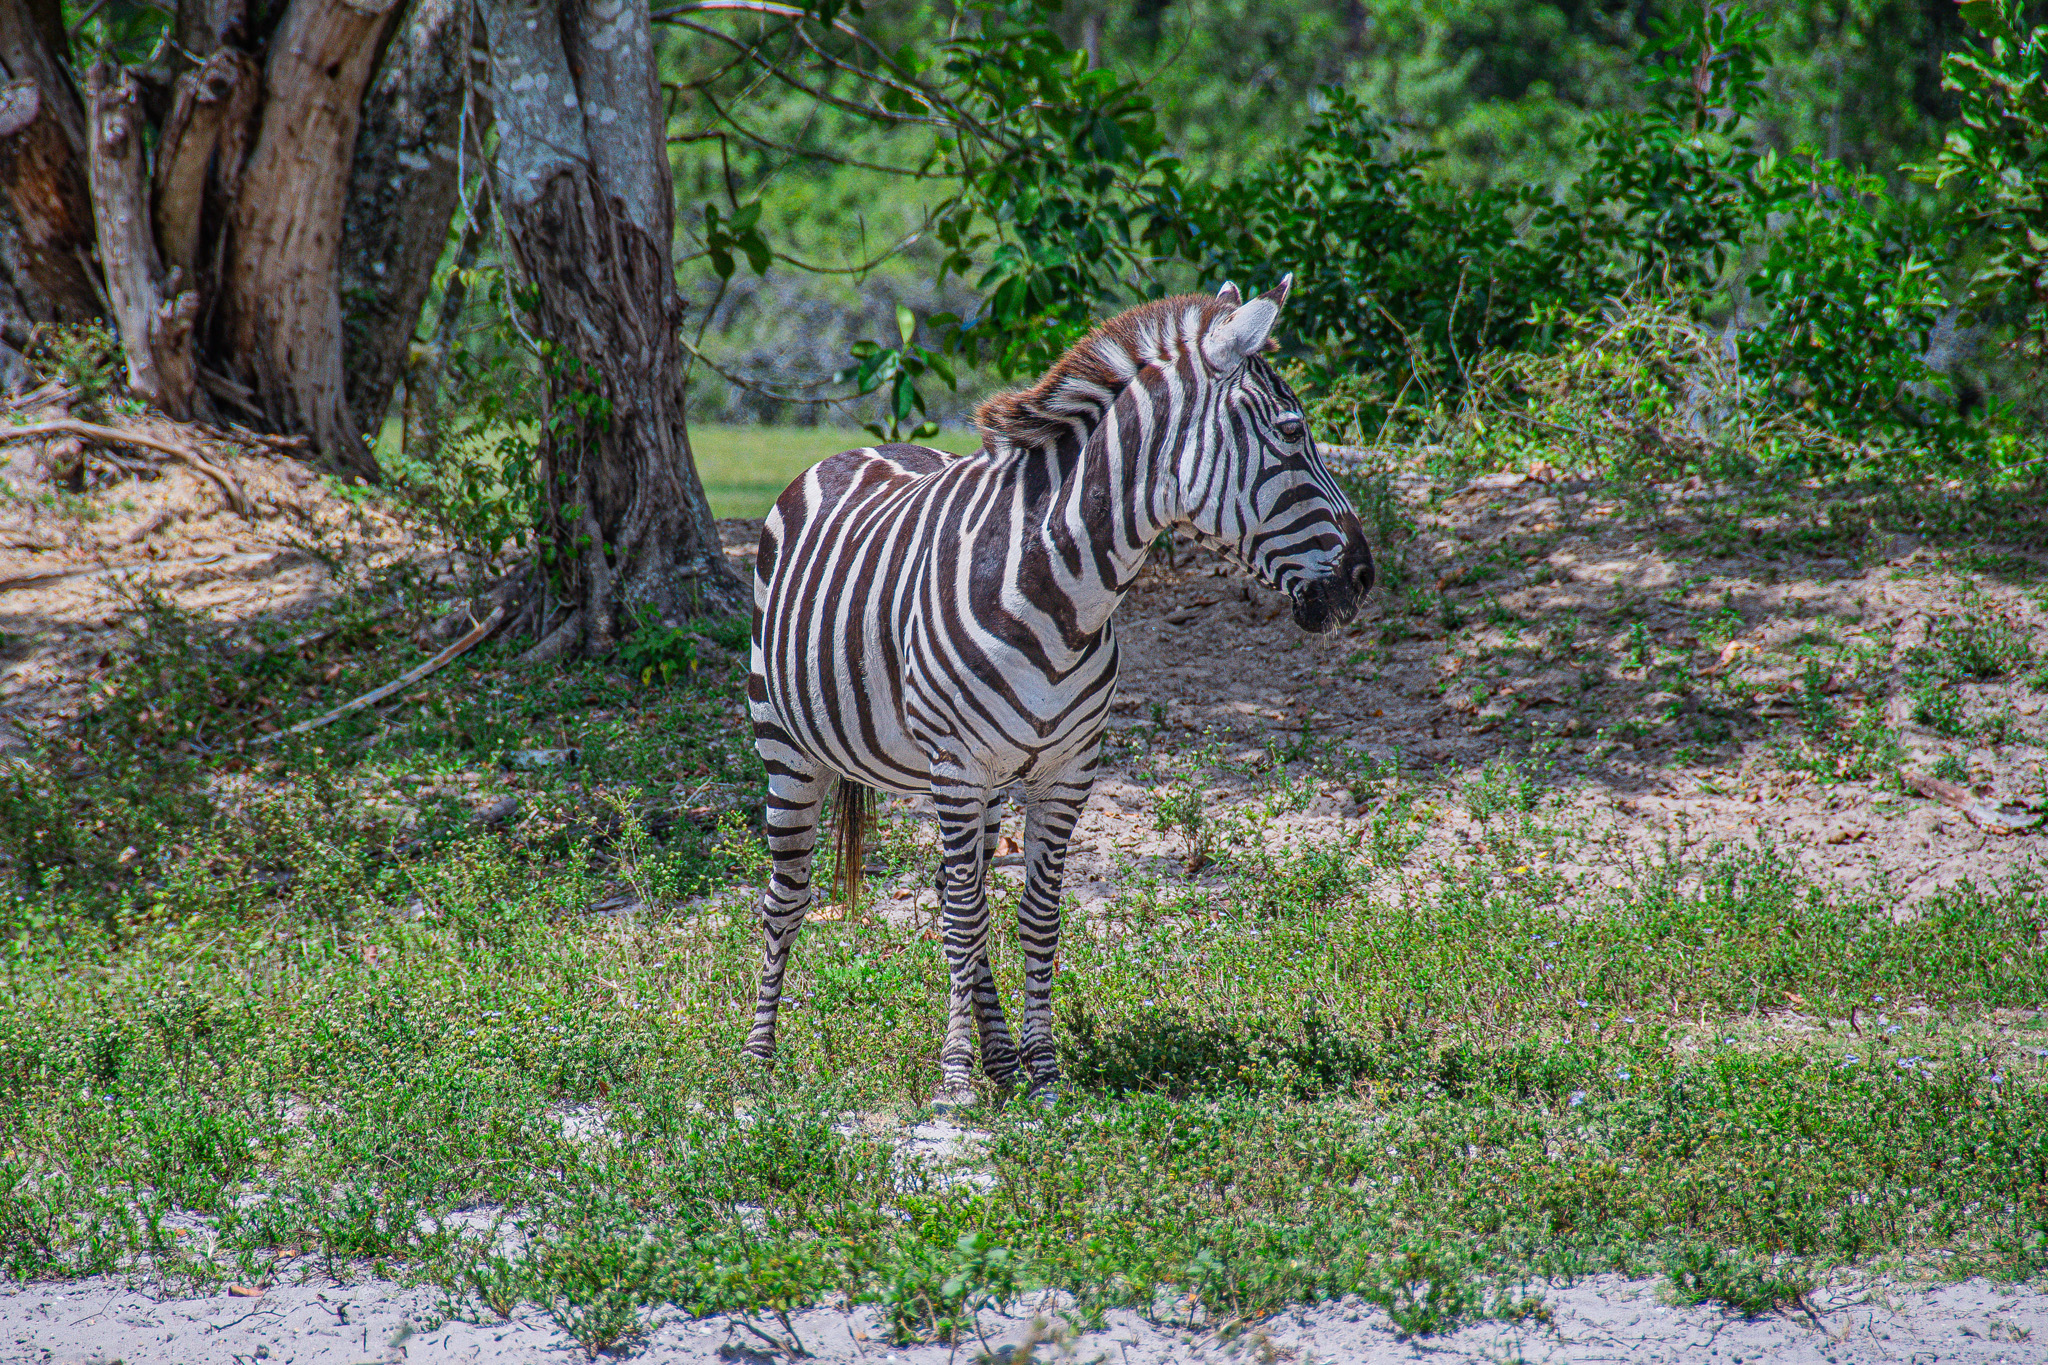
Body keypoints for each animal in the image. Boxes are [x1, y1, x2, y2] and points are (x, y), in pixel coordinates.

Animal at [745, 278, 1368, 1113]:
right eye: (1293, 434)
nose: (1364, 575)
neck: (1061, 590)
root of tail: (850, 450)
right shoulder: (958, 764)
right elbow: (964, 916)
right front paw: (954, 1078)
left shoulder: (1068, 768)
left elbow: (1033, 915)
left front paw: (1039, 1071)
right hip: (788, 745)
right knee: (789, 894)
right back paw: (759, 1059)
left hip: (982, 778)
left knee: (959, 888)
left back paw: (1001, 1059)